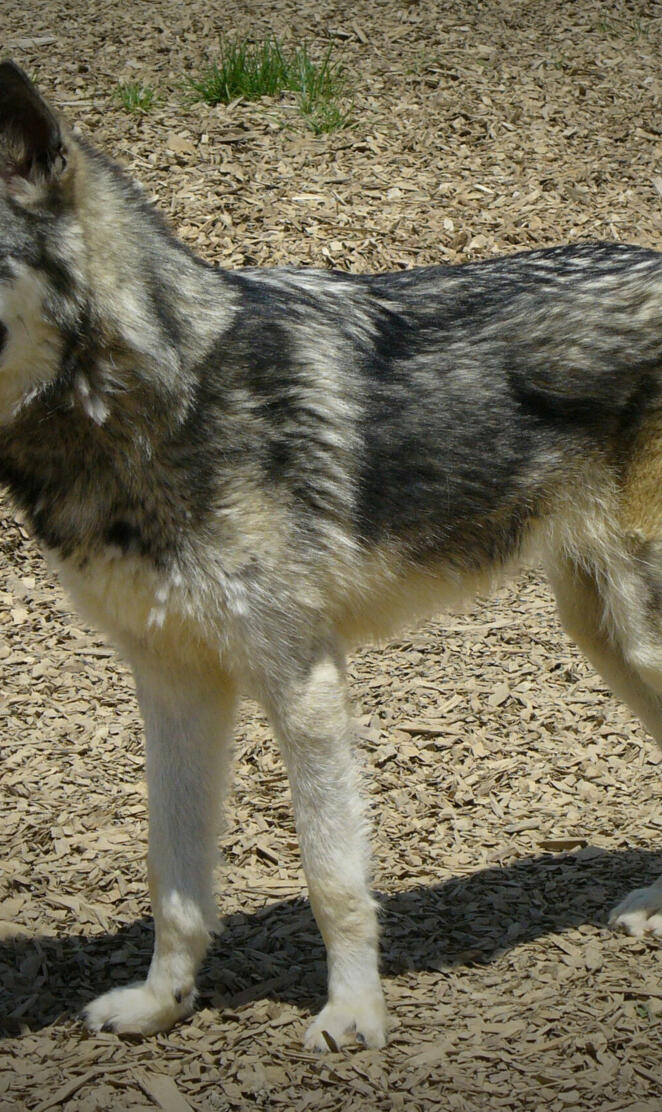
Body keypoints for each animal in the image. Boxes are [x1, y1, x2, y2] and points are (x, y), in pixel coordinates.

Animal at [1, 59, 662, 1050]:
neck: (160, 398)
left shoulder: (302, 682)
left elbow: (332, 878)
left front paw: (354, 1014)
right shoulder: (174, 685)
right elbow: (174, 882)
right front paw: (162, 1004)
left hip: (636, 639)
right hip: (607, 634)